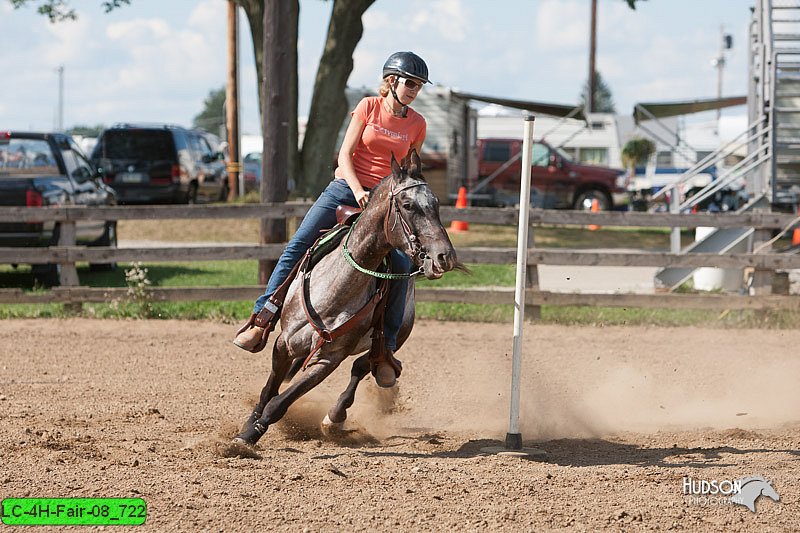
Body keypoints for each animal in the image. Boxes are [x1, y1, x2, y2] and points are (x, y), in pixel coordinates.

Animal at [233, 149, 456, 444]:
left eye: (436, 203)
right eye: (408, 205)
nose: (444, 257)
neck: (333, 293)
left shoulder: (330, 358)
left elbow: (280, 402)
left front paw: (251, 434)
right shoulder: (283, 343)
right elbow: (269, 391)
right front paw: (247, 428)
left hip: (391, 339)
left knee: (362, 366)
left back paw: (335, 416)